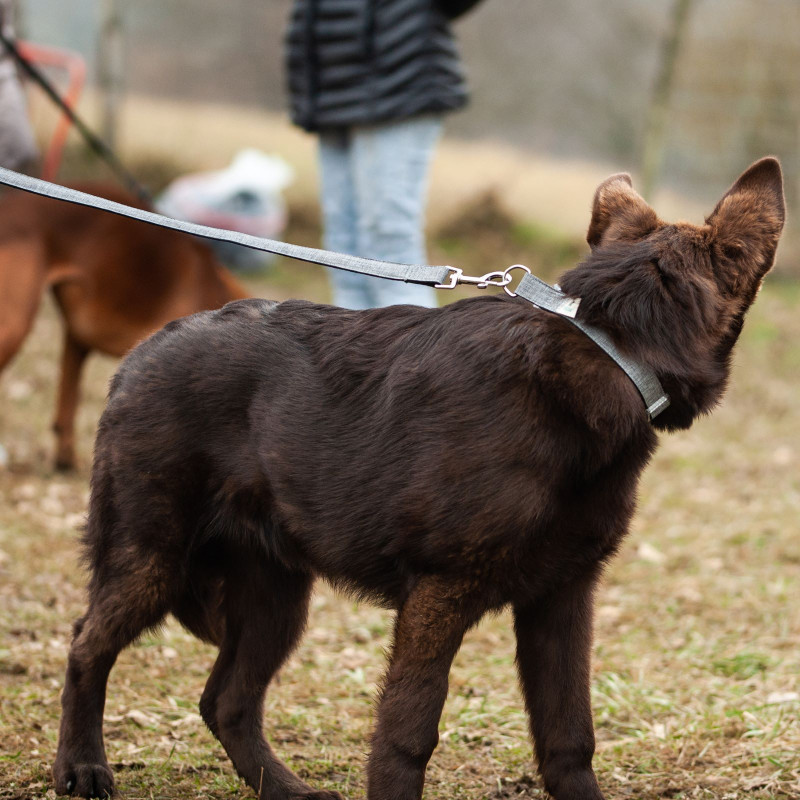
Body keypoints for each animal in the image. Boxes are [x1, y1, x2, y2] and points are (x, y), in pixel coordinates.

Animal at [54, 158, 788, 800]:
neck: (611, 346)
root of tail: (144, 350)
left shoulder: (561, 600)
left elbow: (569, 736)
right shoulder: (439, 598)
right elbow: (407, 735)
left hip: (276, 598)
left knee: (225, 702)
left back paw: (286, 789)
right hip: (152, 560)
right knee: (87, 646)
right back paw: (81, 767)